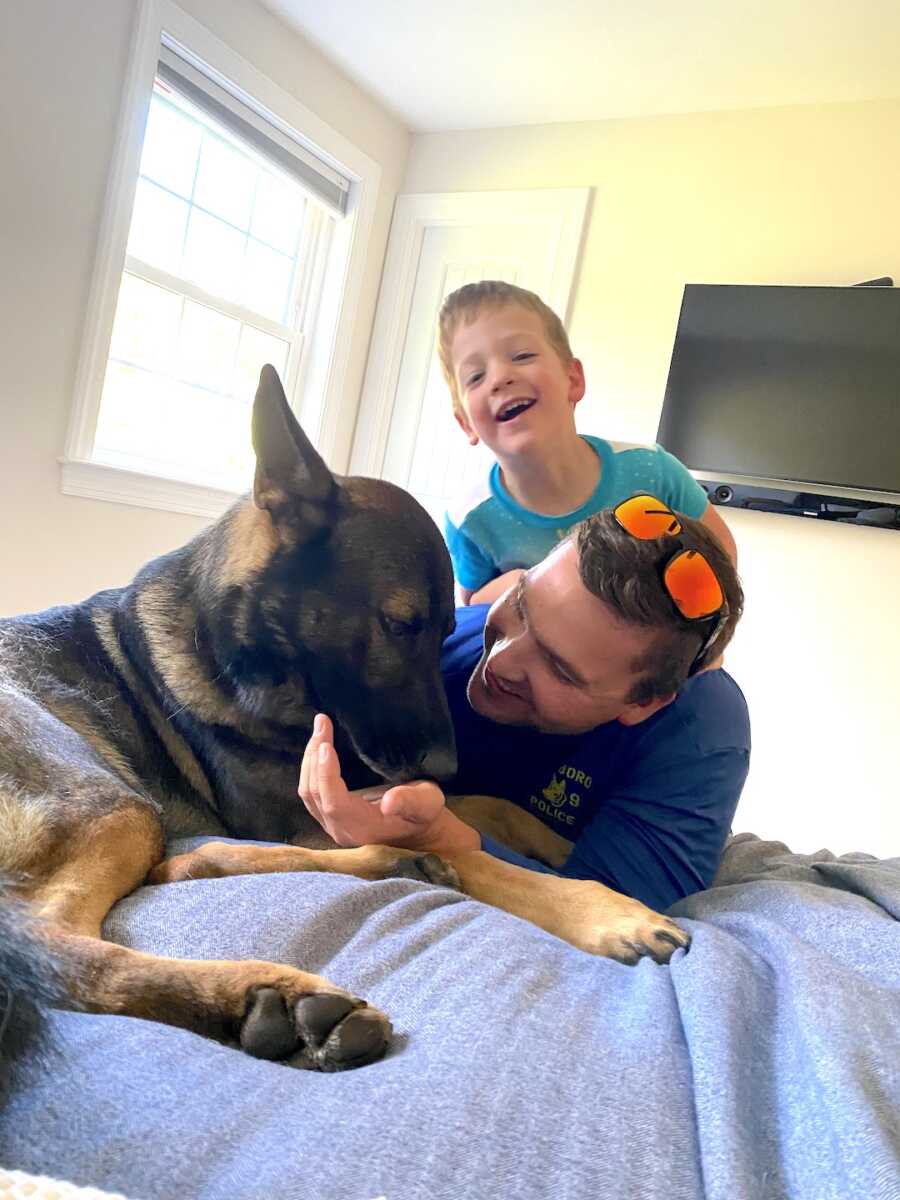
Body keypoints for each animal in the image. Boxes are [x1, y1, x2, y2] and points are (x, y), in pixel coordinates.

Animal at [1, 364, 691, 1080]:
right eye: (399, 624)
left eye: (448, 631)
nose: (447, 761)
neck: (240, 655)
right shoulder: (302, 819)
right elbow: (478, 850)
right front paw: (600, 906)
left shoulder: (374, 792)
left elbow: (485, 806)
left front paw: (555, 843)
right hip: (115, 806)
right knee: (56, 947)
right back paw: (270, 988)